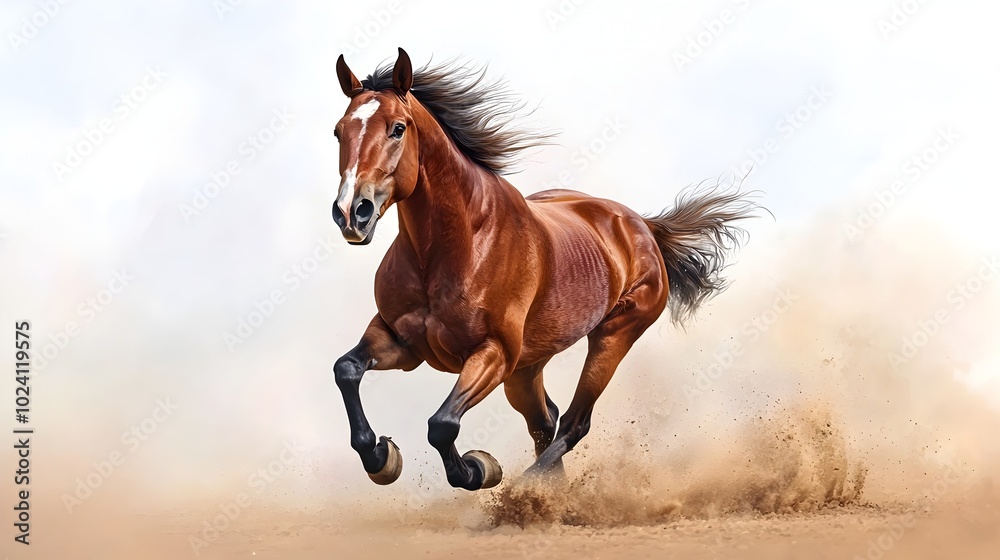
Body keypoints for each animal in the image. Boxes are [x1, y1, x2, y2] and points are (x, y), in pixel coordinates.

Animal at [331, 48, 762, 491]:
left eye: (397, 128)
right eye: (338, 132)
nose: (351, 213)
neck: (449, 250)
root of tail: (641, 225)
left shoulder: (494, 353)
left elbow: (442, 424)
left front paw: (477, 468)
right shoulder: (400, 339)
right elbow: (346, 369)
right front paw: (380, 456)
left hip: (613, 335)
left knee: (573, 423)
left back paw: (529, 490)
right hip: (528, 366)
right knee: (545, 421)